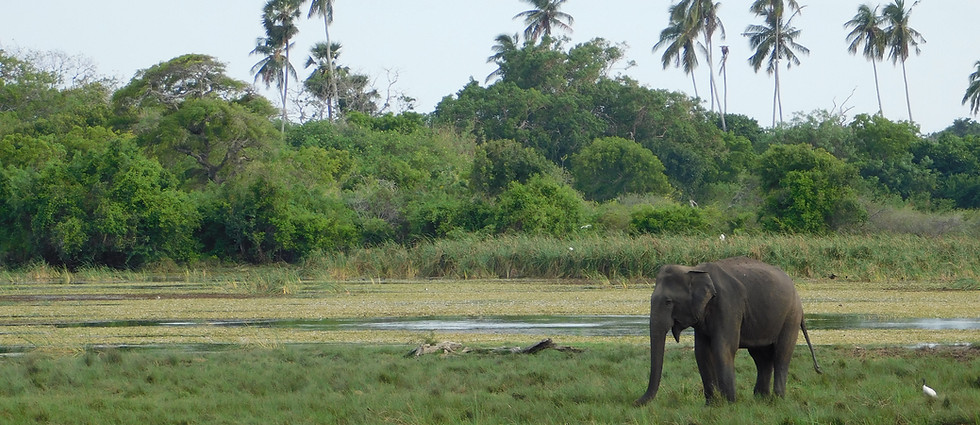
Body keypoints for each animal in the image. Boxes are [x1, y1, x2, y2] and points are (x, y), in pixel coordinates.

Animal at [635, 257, 821, 405]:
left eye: (668, 302)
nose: (635, 402)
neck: (695, 270)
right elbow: (702, 352)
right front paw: (711, 405)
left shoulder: (728, 304)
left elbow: (723, 348)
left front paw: (730, 404)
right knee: (762, 358)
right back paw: (761, 399)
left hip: (790, 317)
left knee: (782, 355)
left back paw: (777, 400)